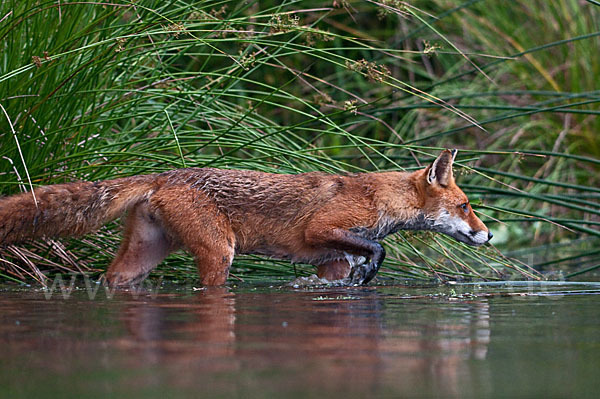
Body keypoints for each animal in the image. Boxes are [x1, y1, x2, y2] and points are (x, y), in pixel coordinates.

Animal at [0, 149, 492, 284]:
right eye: (466, 206)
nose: (488, 236)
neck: (380, 201)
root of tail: (165, 175)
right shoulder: (323, 228)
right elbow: (377, 247)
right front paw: (373, 265)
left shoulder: (332, 263)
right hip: (220, 253)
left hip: (141, 258)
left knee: (113, 280)